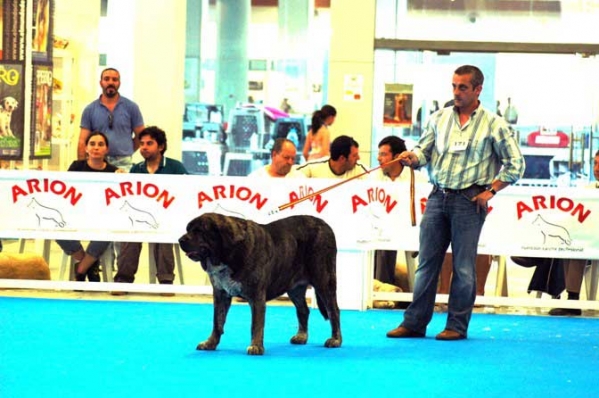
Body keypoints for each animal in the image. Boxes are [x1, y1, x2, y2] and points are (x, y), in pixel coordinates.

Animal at [178, 213, 342, 356]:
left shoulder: (256, 296)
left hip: (324, 281)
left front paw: (256, 346)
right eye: (188, 229)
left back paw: (335, 340)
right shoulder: (220, 294)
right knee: (303, 310)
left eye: (199, 231)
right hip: (294, 288)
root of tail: (325, 225)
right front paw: (210, 343)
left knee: (333, 310)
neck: (229, 252)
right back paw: (301, 336)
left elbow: (256, 324)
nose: (180, 240)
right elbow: (217, 321)